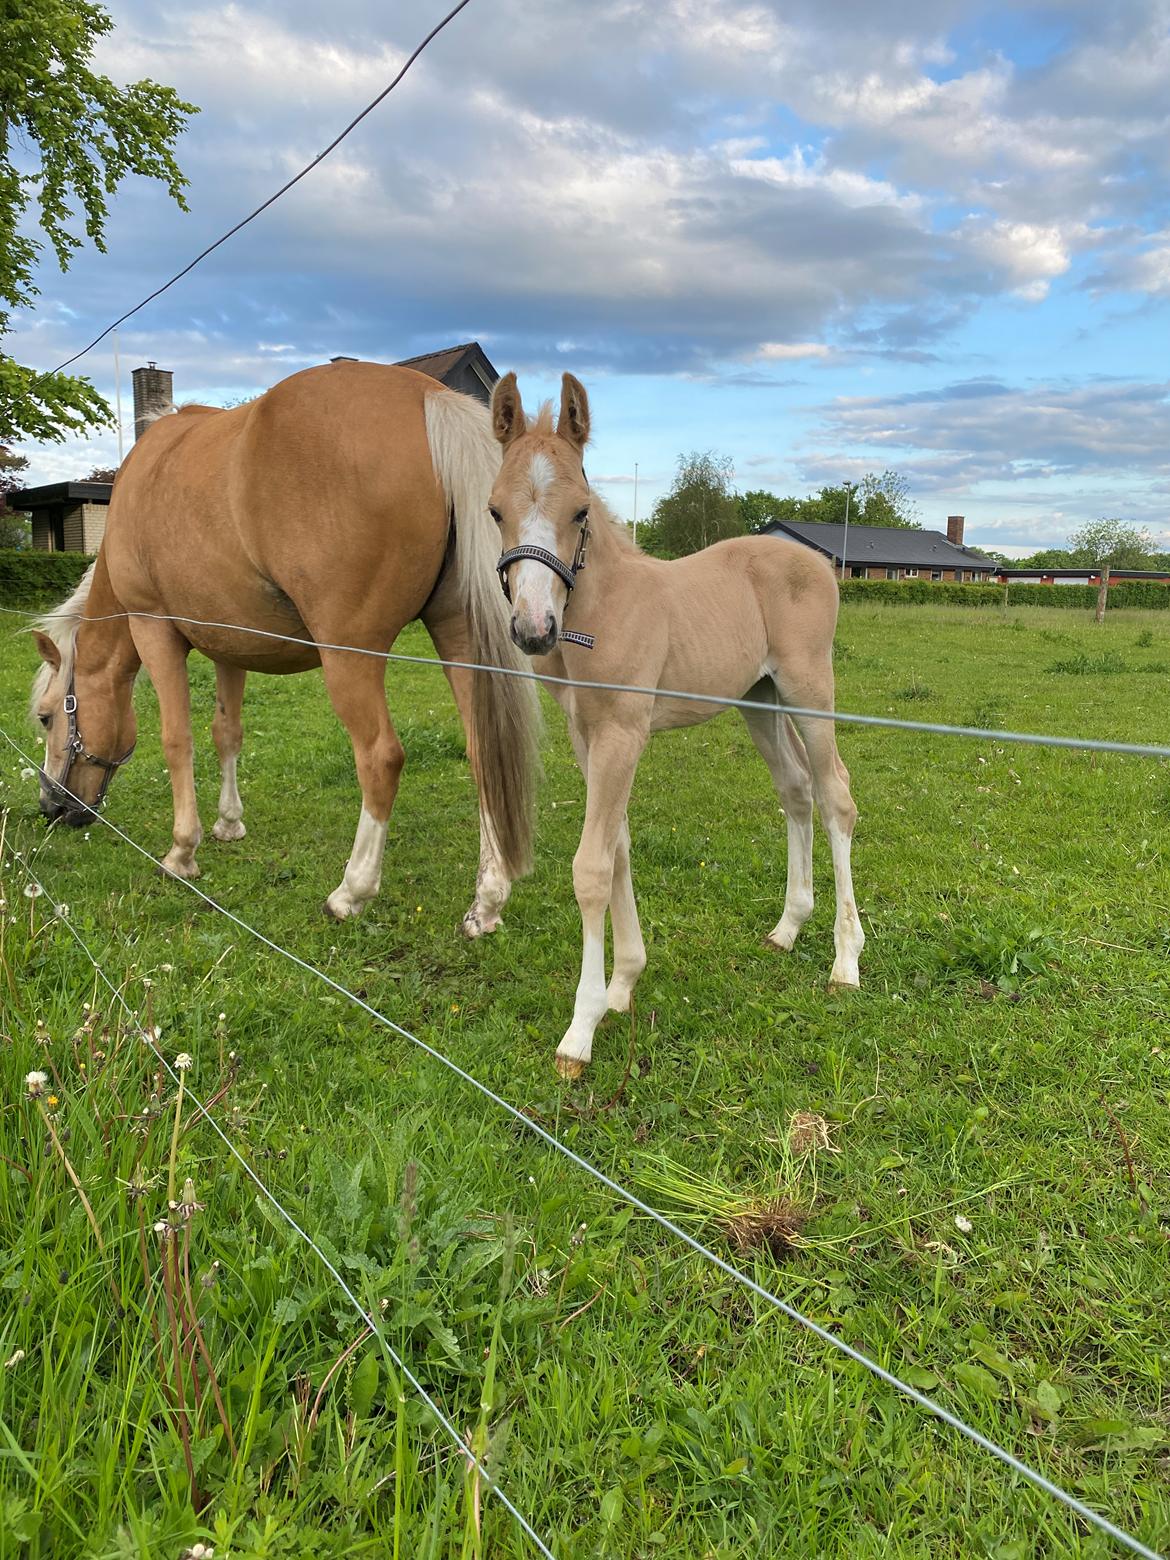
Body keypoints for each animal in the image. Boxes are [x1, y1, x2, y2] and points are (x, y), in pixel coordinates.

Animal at [29, 358, 539, 929]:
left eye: (46, 717)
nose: (52, 808)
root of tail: (429, 399)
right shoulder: (231, 645)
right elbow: (226, 732)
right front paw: (229, 823)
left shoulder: (153, 628)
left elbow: (177, 739)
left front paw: (182, 851)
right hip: (460, 636)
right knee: (482, 753)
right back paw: (487, 900)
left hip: (350, 656)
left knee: (381, 758)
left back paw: (352, 891)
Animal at [489, 372, 867, 1079]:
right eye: (495, 510)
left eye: (580, 511)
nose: (533, 630)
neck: (600, 609)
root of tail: (818, 563)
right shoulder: (589, 735)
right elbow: (617, 846)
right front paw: (622, 986)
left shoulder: (623, 732)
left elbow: (591, 867)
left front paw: (580, 1031)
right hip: (759, 700)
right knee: (796, 790)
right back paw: (788, 927)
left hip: (809, 691)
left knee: (836, 796)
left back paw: (845, 962)